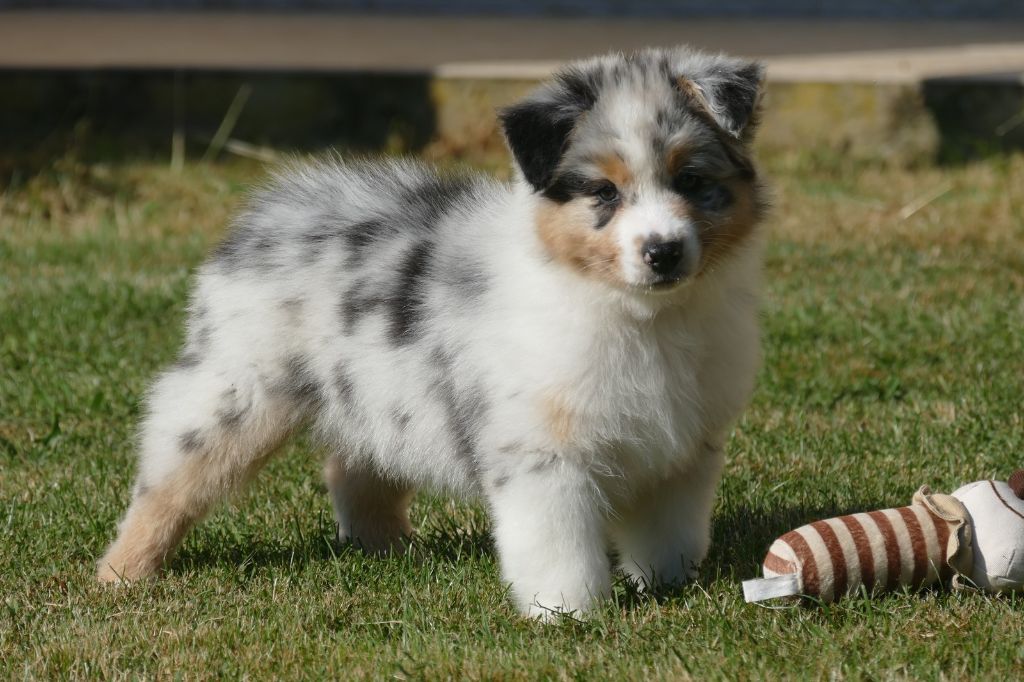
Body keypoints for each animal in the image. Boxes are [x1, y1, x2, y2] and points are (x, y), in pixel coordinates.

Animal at [97, 46, 767, 618]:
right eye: (603, 191)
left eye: (691, 181)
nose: (664, 252)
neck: (640, 315)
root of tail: (277, 203)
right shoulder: (541, 452)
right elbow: (556, 541)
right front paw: (566, 613)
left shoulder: (680, 444)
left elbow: (668, 528)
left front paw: (670, 586)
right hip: (233, 390)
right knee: (166, 483)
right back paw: (121, 574)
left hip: (380, 395)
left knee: (353, 468)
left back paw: (391, 549)